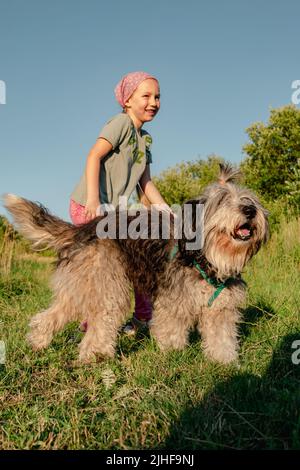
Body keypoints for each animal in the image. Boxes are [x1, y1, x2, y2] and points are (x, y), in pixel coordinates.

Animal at [3, 164, 268, 364]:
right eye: (222, 200)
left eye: (249, 199)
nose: (249, 210)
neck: (206, 257)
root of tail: (83, 229)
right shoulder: (173, 301)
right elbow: (171, 330)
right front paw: (171, 354)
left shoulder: (221, 309)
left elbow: (221, 338)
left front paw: (225, 362)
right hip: (107, 286)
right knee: (100, 325)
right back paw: (95, 355)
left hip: (80, 286)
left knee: (49, 316)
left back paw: (38, 343)